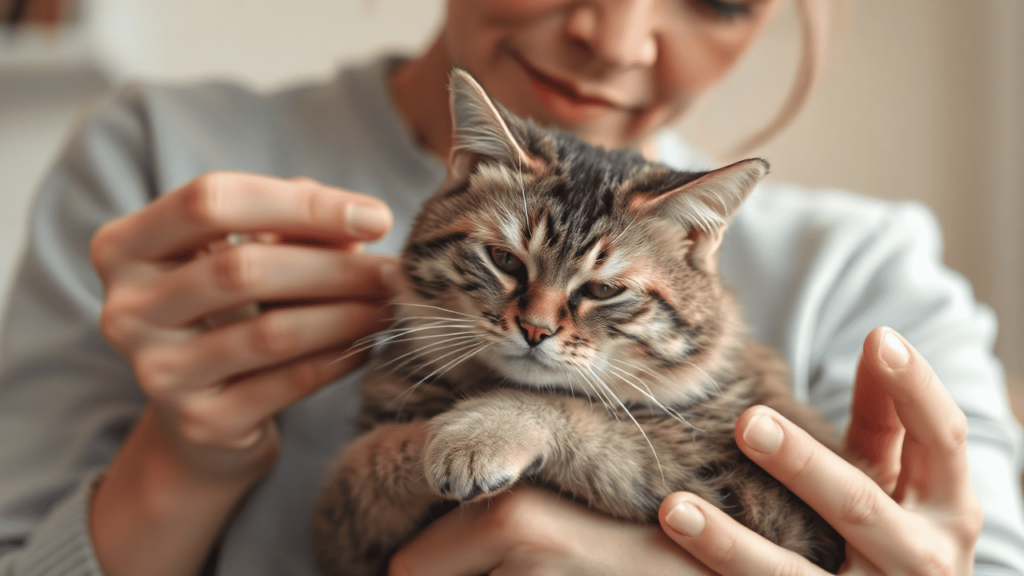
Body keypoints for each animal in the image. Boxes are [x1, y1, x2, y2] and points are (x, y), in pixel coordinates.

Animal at [311, 69, 847, 569]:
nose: (535, 330)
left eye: (603, 290)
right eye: (505, 261)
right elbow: (366, 456)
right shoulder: (345, 530)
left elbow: (577, 409)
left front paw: (479, 431)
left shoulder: (742, 489)